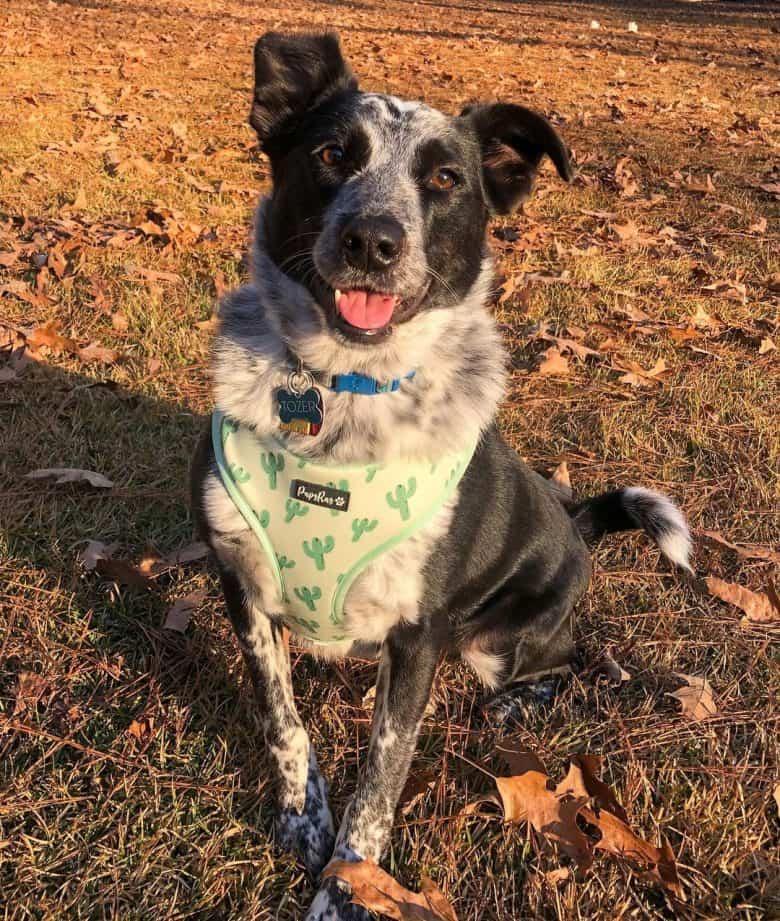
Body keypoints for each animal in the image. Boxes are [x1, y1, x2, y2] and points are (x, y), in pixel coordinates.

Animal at [192, 30, 692, 920]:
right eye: (332, 154)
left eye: (446, 179)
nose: (372, 241)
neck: (341, 393)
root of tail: (576, 520)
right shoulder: (243, 590)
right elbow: (284, 723)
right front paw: (303, 820)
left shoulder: (419, 637)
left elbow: (380, 776)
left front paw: (346, 885)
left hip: (497, 641)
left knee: (563, 661)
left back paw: (518, 698)